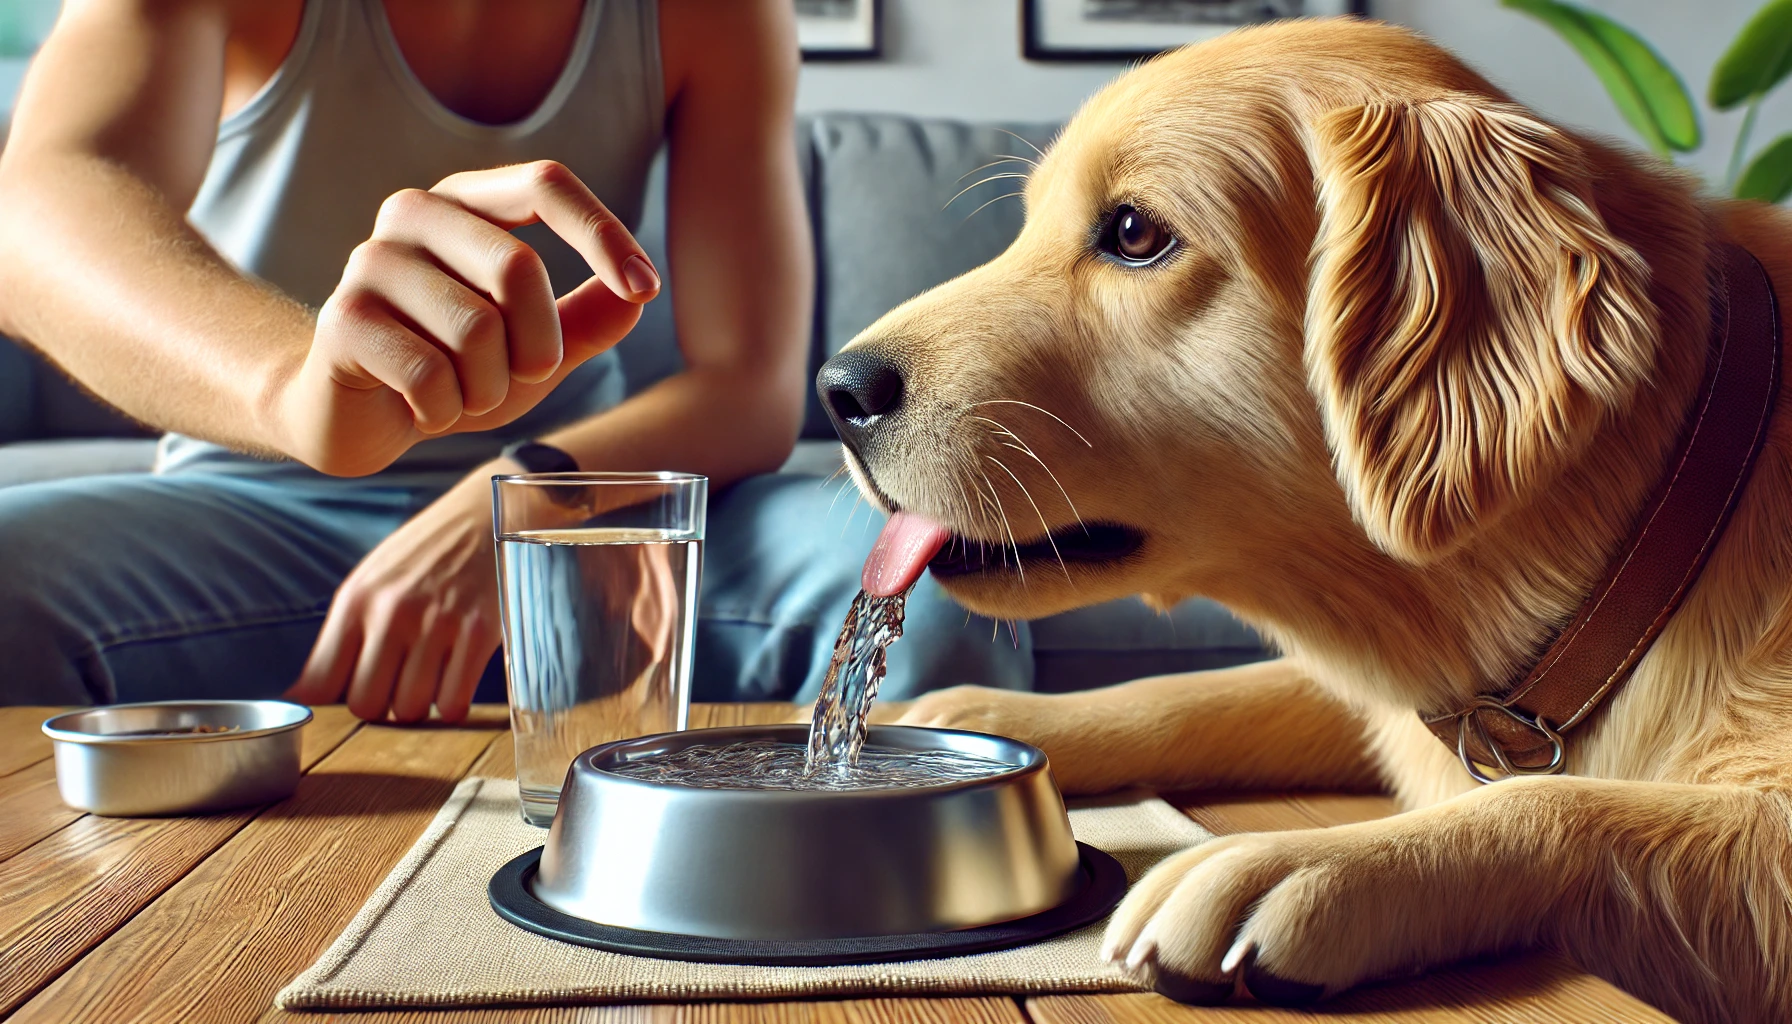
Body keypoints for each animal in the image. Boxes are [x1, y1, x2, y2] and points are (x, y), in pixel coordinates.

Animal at [817, 16, 1792, 1024]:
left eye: (1133, 232)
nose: (836, 391)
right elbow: (1201, 690)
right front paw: (998, 712)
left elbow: (1557, 802)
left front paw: (1307, 861)